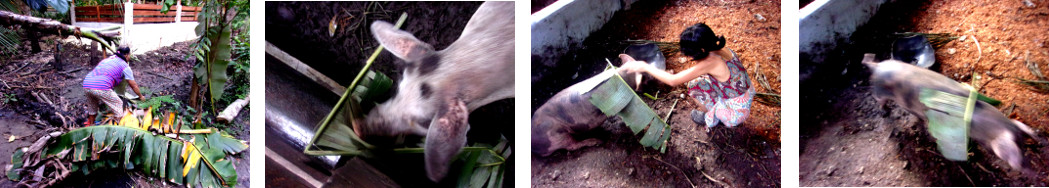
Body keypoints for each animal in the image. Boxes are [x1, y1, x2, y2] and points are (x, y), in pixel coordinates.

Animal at [864, 53, 1036, 170]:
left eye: (1023, 144)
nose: (1025, 167)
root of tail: (877, 66)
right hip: (879, 91)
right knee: (879, 100)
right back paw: (884, 111)